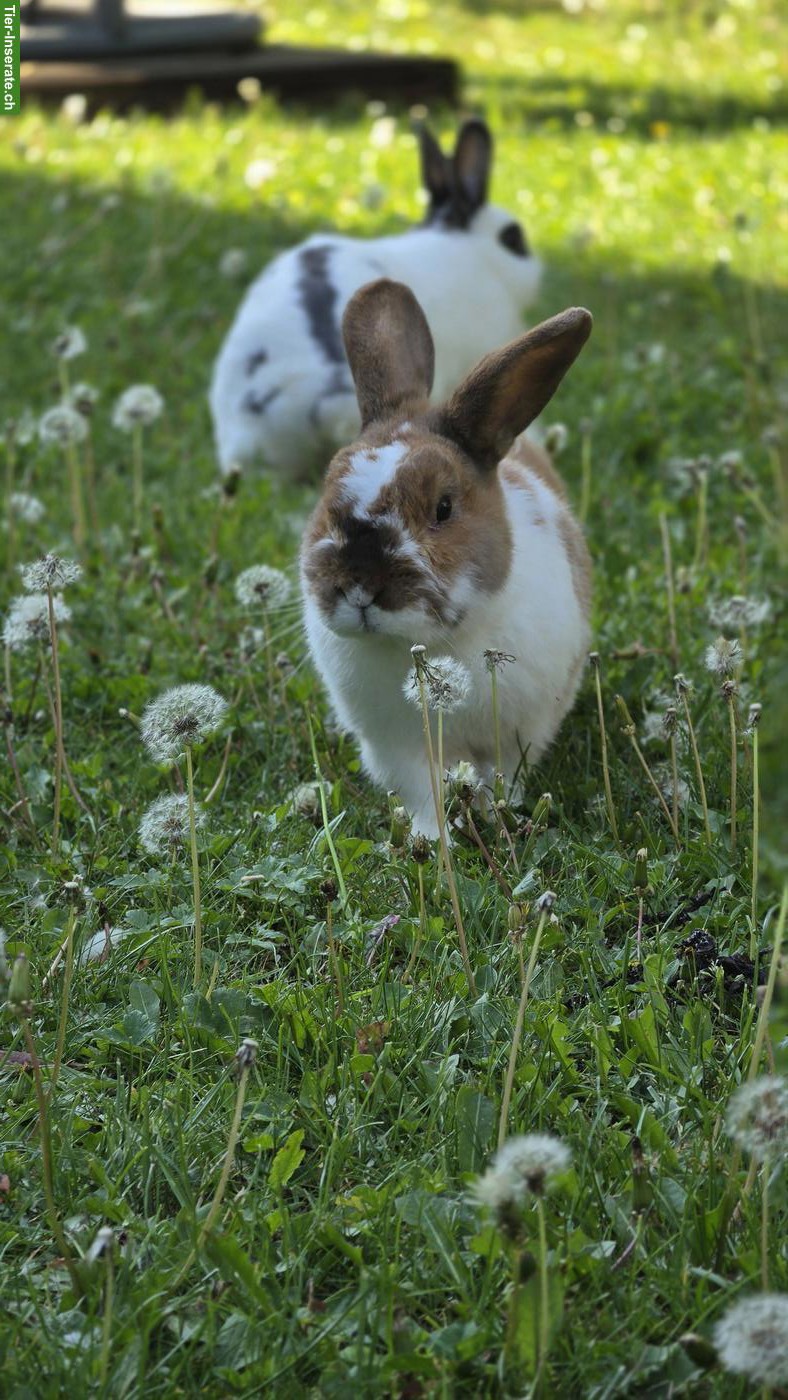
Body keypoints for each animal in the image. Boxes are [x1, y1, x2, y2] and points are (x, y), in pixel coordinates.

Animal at [300, 278, 593, 838]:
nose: (360, 587)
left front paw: (494, 815)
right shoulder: (397, 747)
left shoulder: (520, 731)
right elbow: (425, 793)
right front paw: (432, 838)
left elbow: (503, 776)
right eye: (327, 496)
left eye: (443, 508)